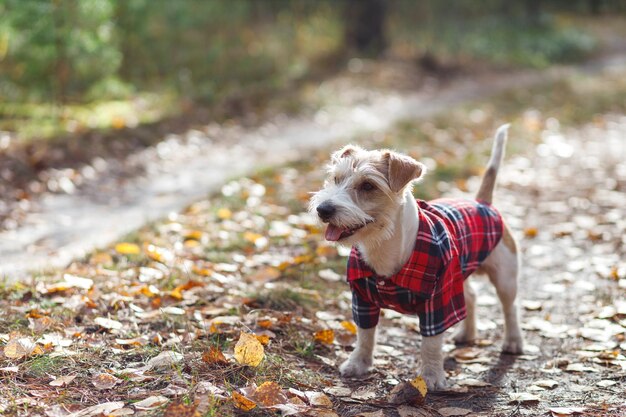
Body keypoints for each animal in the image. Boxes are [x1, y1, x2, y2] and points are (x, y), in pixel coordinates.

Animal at [310, 124, 520, 390]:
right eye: (336, 179)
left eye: (368, 185)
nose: (323, 209)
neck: (384, 245)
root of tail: (482, 202)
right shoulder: (362, 298)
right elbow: (365, 334)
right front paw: (358, 364)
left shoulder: (438, 299)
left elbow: (431, 342)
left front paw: (430, 377)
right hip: (459, 274)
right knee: (471, 297)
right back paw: (467, 334)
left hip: (504, 276)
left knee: (510, 308)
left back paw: (513, 341)